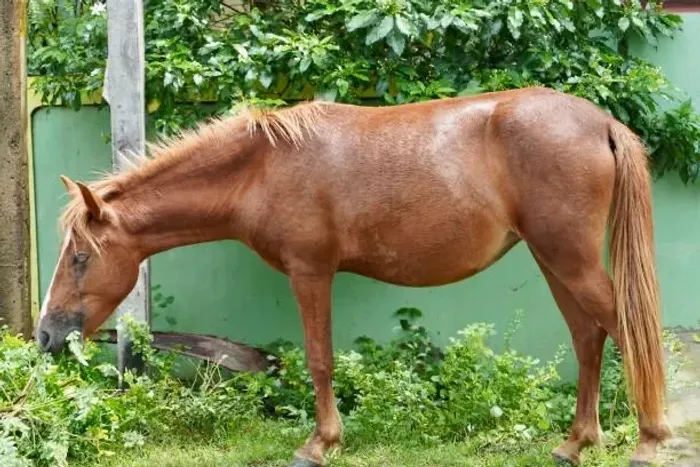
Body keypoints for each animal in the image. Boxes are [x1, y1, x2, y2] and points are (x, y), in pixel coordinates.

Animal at [35, 86, 671, 466]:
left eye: (80, 256)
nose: (44, 335)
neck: (260, 167)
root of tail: (601, 121)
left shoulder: (311, 272)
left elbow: (319, 359)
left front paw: (320, 444)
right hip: (554, 260)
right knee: (589, 337)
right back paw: (576, 443)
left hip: (570, 259)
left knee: (631, 334)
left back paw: (648, 440)